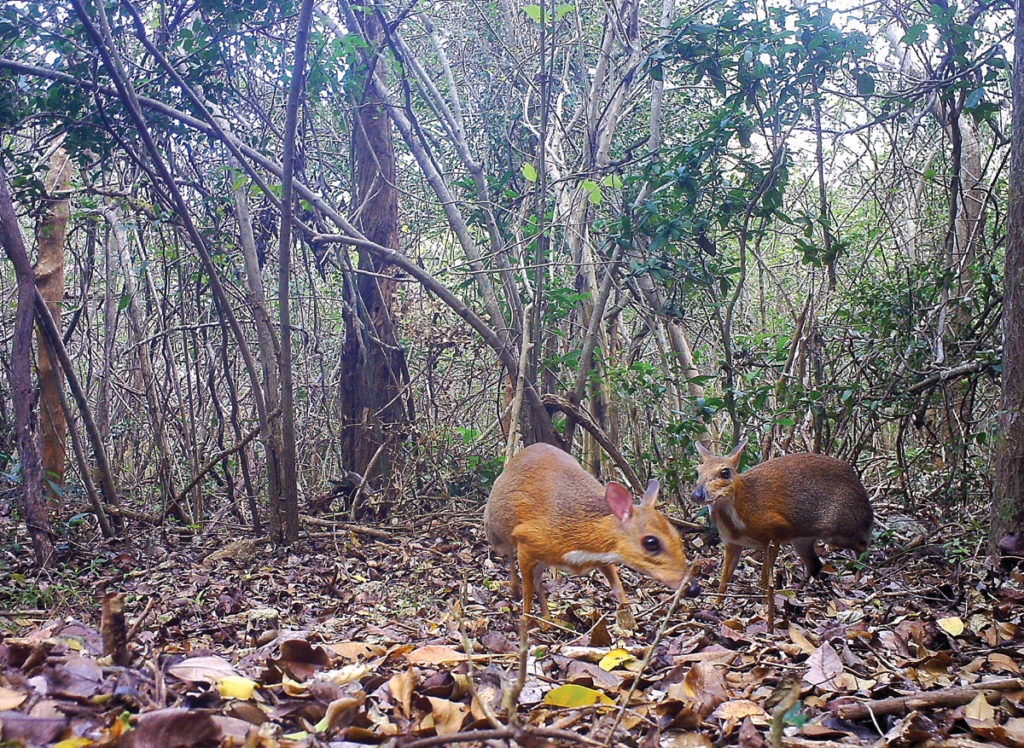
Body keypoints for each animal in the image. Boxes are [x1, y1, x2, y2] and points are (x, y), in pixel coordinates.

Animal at [483, 440, 692, 618]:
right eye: (651, 542)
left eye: (676, 535)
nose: (693, 587)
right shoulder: (526, 538)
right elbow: (527, 593)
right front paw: (526, 621)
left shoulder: (604, 557)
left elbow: (618, 588)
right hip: (495, 532)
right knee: (510, 556)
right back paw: (515, 591)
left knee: (537, 578)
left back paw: (547, 617)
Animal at [688, 436, 872, 606]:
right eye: (697, 472)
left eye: (725, 472)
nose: (697, 495)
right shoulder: (732, 543)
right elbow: (724, 578)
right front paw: (717, 603)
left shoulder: (775, 532)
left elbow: (764, 576)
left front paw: (764, 604)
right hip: (802, 539)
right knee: (815, 565)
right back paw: (795, 594)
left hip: (839, 529)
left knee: (863, 547)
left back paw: (859, 578)